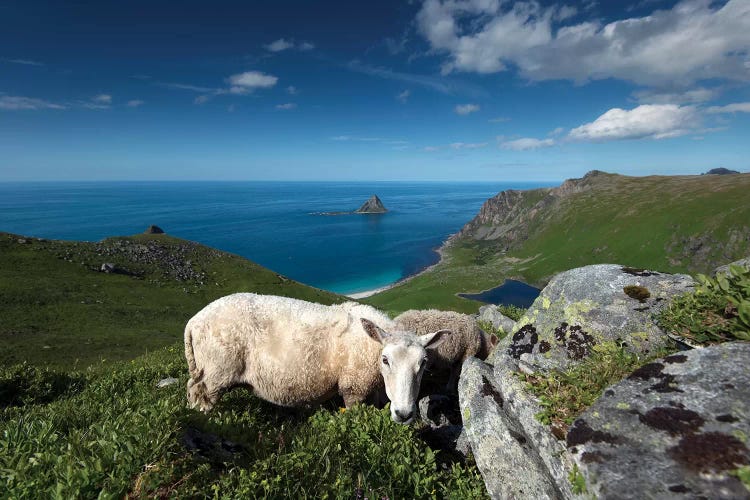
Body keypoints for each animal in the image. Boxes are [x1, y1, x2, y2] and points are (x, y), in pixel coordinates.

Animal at [184, 294, 450, 424]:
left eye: (423, 363)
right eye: (385, 360)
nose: (404, 414)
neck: (371, 346)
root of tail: (194, 321)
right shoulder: (354, 387)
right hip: (216, 372)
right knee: (201, 396)